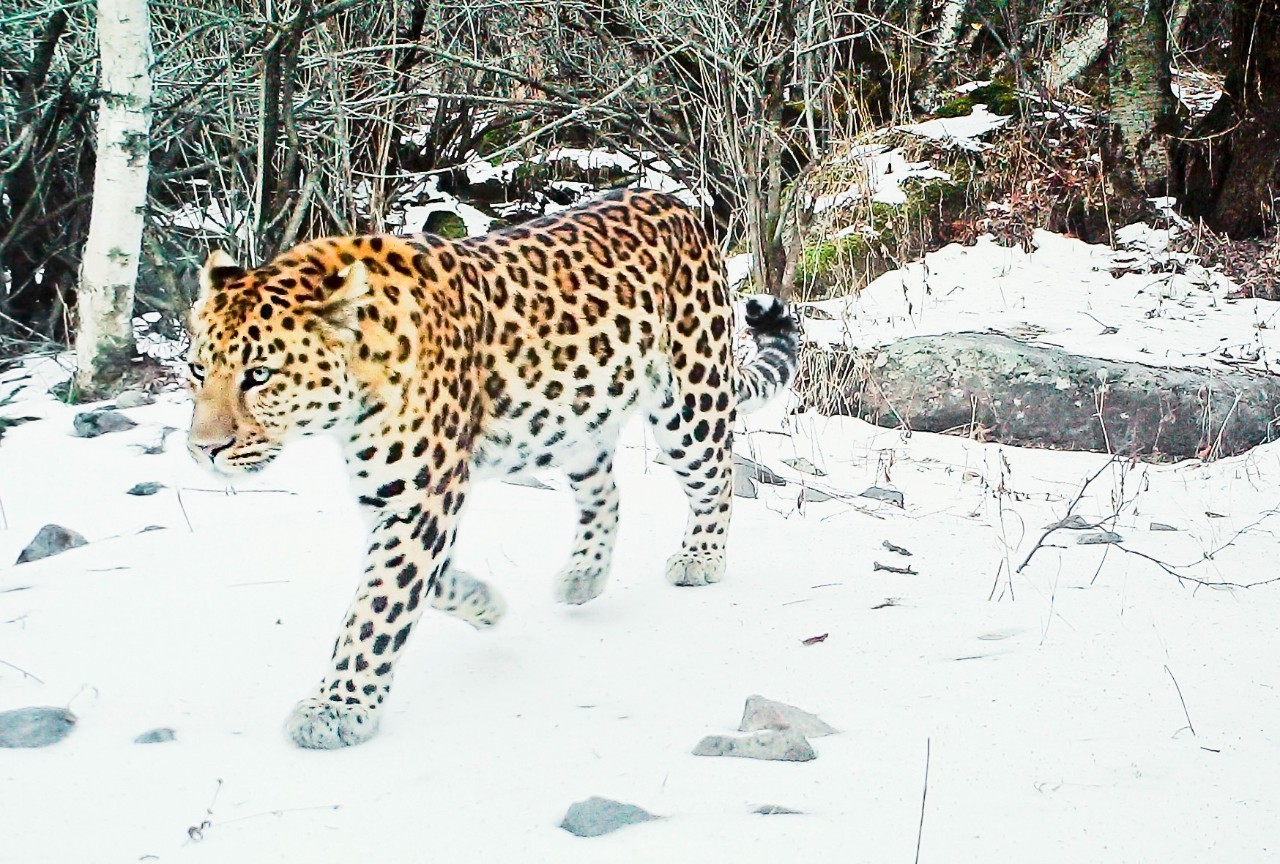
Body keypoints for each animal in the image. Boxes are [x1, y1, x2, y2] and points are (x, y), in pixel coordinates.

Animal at [186, 188, 798, 752]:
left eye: (259, 375)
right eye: (197, 370)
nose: (204, 449)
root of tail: (678, 205)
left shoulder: (420, 496)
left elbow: (377, 609)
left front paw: (336, 709)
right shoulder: (393, 493)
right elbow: (420, 583)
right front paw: (485, 605)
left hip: (689, 401)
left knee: (717, 478)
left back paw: (701, 557)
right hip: (570, 417)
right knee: (604, 490)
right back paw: (584, 574)